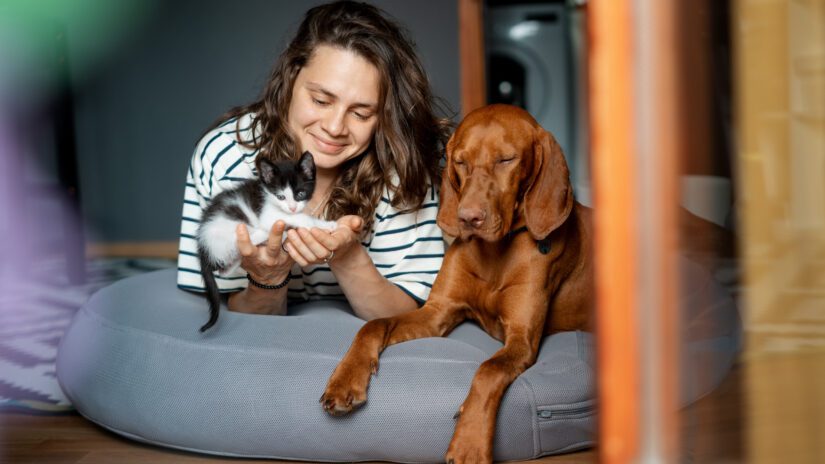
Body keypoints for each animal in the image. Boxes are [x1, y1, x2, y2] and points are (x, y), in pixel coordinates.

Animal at [196, 150, 334, 332]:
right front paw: (312, 223)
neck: (268, 194)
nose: (292, 208)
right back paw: (267, 235)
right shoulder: (268, 215)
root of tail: (203, 245)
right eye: (280, 196)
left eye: (300, 194)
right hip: (232, 225)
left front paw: (328, 224)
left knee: (225, 268)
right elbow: (299, 218)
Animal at [318, 105, 592, 464]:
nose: (468, 218)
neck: (495, 252)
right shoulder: (437, 312)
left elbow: (489, 369)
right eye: (460, 161)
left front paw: (469, 442)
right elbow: (373, 325)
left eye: (506, 160)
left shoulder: (523, 340)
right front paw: (345, 379)